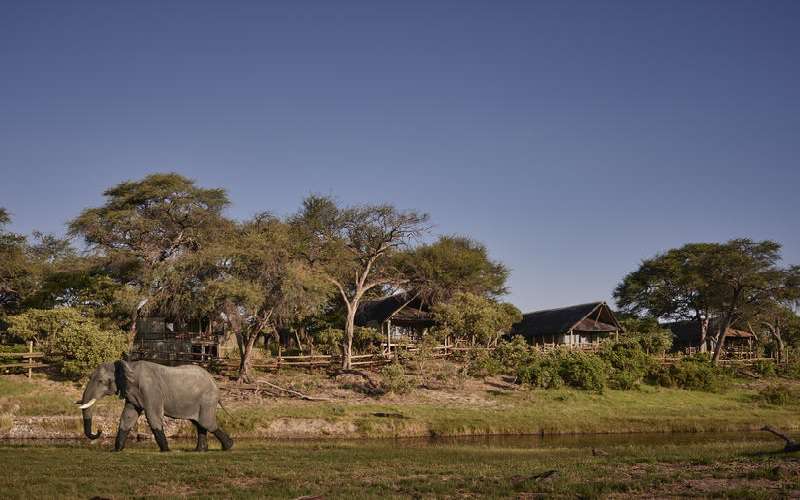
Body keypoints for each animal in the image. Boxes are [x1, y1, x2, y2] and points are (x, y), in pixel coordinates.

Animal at [77, 360, 233, 454]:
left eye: (100, 381)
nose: (99, 430)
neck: (128, 366)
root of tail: (215, 382)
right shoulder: (132, 393)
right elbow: (128, 417)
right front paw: (116, 451)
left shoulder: (151, 391)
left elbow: (153, 416)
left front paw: (166, 451)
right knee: (199, 423)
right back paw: (200, 451)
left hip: (207, 399)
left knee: (206, 422)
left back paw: (228, 446)